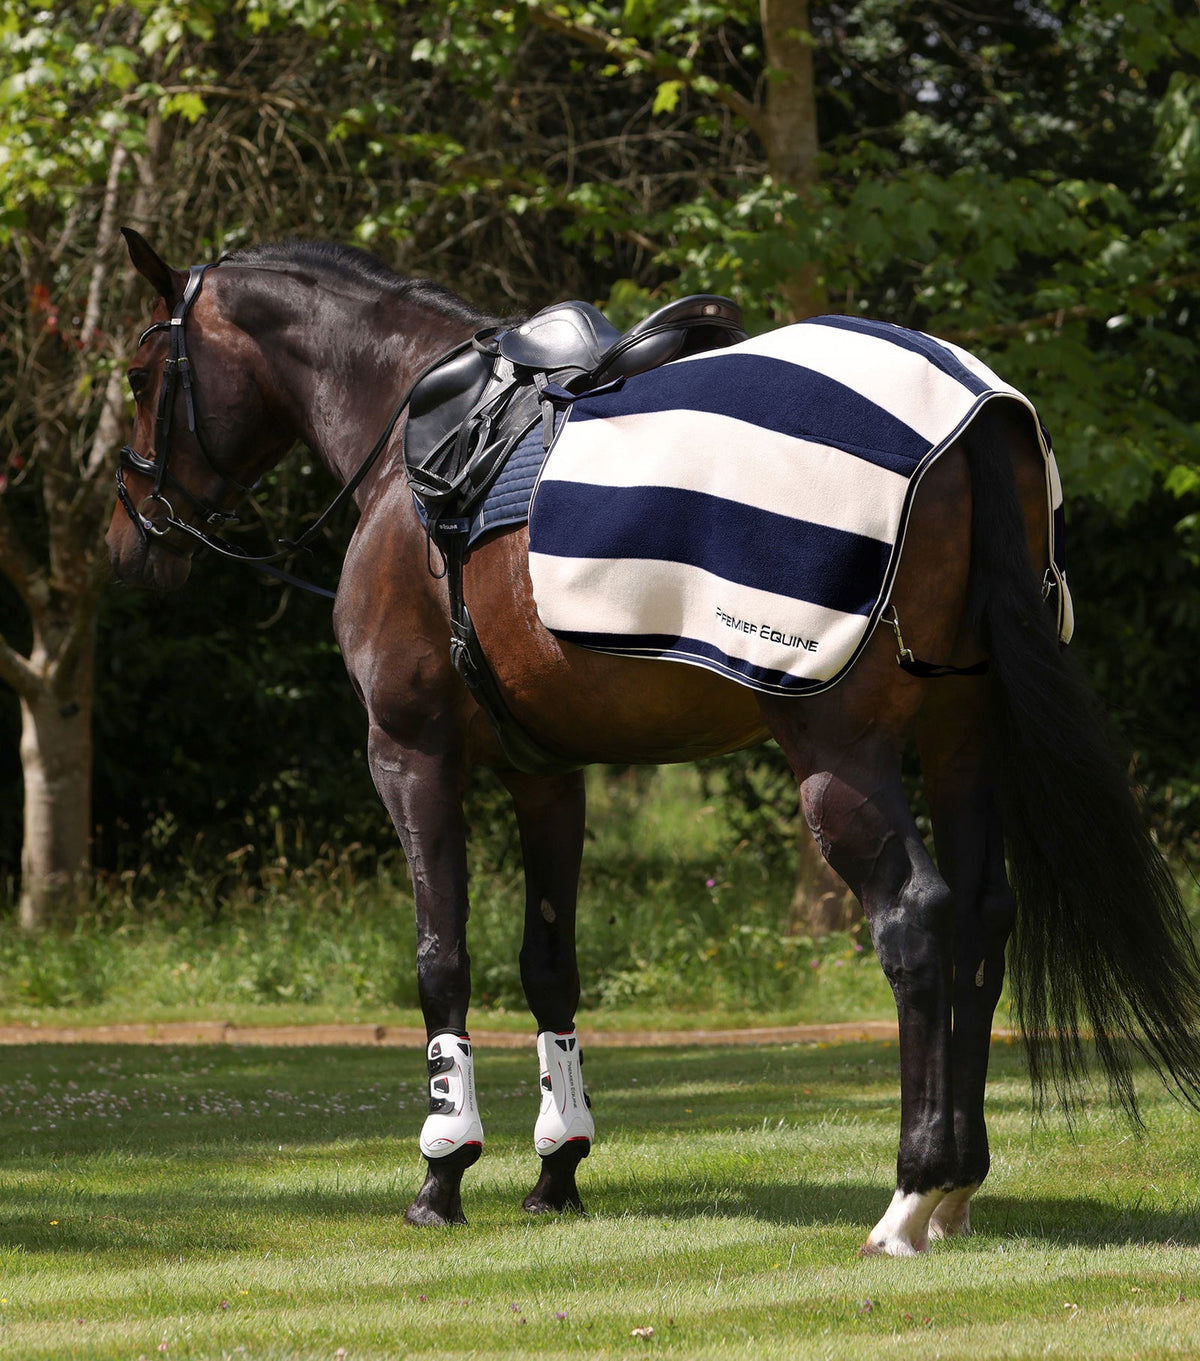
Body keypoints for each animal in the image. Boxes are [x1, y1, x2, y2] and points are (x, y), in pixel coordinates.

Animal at [105, 228, 1200, 1256]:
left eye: (142, 374)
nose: (127, 541)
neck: (413, 438)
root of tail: (973, 420)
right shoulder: (548, 774)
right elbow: (551, 964)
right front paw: (558, 1167)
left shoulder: (410, 754)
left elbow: (440, 960)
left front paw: (443, 1171)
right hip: (962, 733)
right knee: (980, 916)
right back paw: (960, 1185)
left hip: (839, 750)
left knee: (917, 920)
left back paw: (910, 1193)